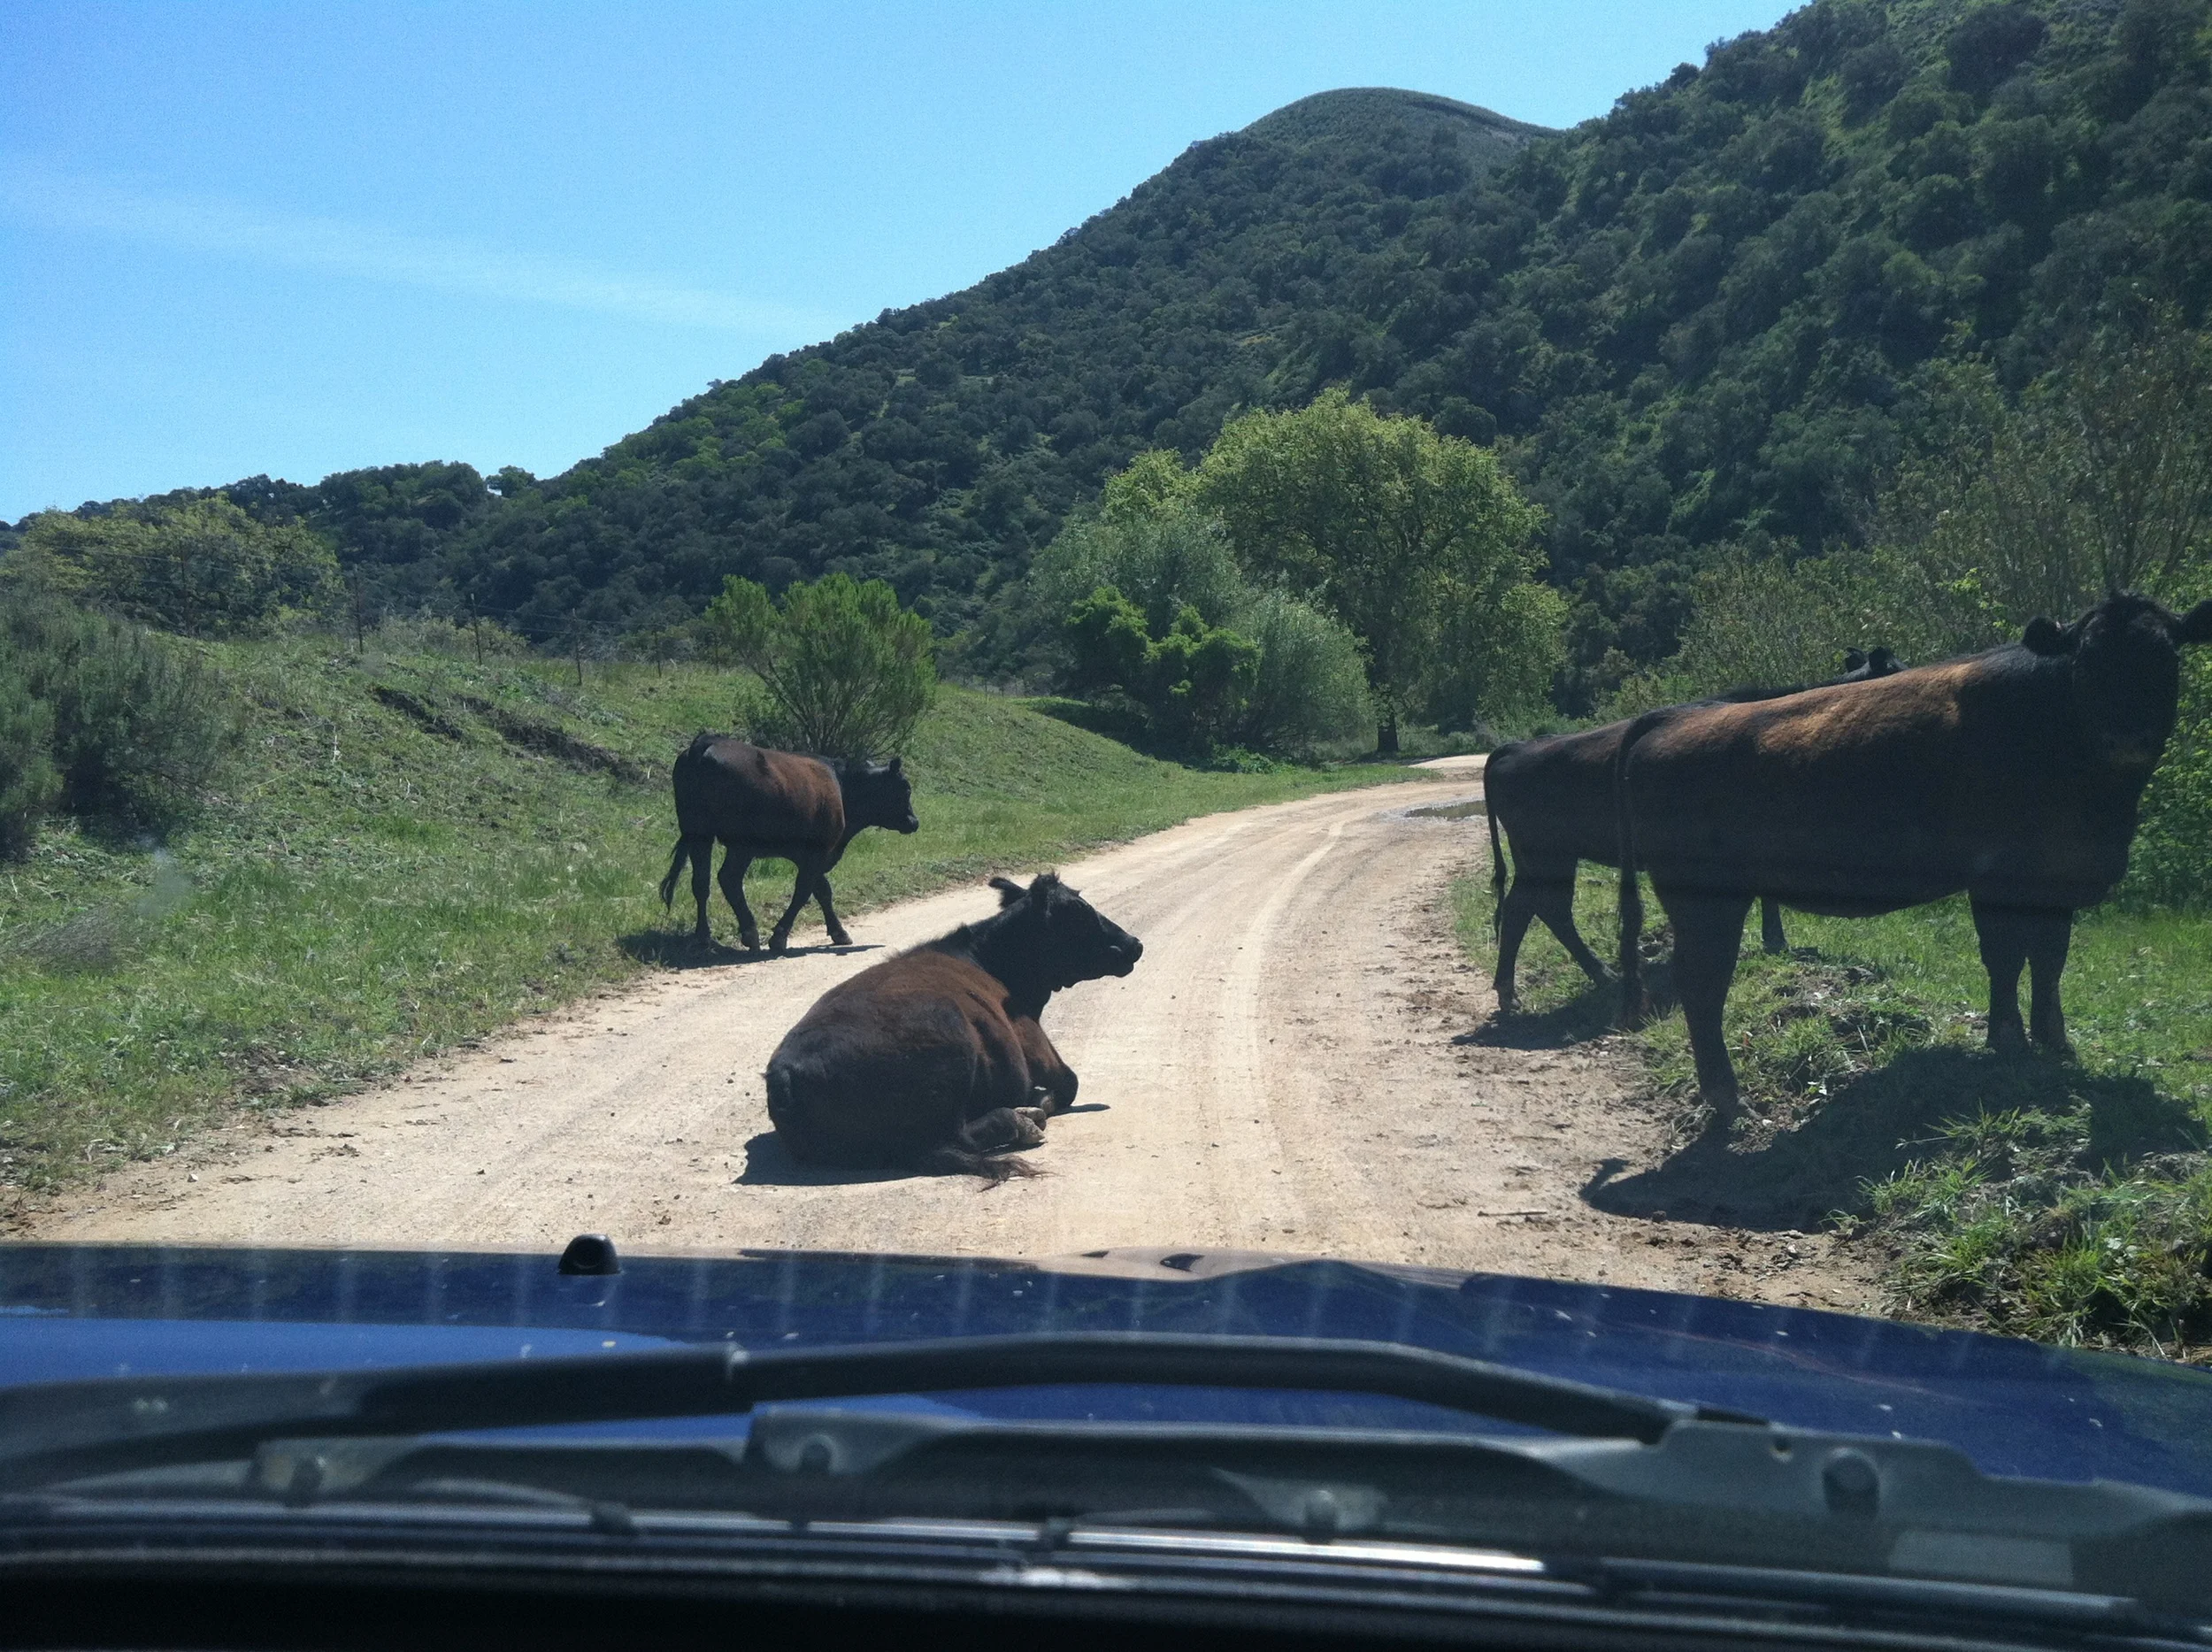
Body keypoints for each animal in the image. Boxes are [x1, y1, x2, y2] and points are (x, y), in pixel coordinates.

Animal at [658, 734, 918, 954]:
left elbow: (822, 890)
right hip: (741, 845)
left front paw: (839, 932)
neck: (843, 786)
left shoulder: (806, 855)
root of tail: (707, 742)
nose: (914, 822)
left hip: (699, 835)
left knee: (702, 882)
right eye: (905, 788)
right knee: (728, 878)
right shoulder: (817, 852)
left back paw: (704, 937)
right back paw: (750, 933)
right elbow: (804, 891)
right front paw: (779, 937)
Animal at [764, 872, 1143, 1180]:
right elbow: (1069, 1084)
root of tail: (786, 1072)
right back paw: (1022, 1119)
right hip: (952, 1046)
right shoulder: (1036, 1044)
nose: (1134, 944)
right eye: (1077, 913)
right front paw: (1039, 1099)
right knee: (953, 1139)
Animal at [1484, 648, 1902, 1013]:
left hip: (1544, 854)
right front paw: (1776, 941)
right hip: (1544, 853)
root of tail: (1515, 747)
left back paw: (1583, 978)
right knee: (1534, 907)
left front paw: (1775, 940)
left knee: (1536, 908)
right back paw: (1529, 988)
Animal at [1613, 594, 2212, 1125]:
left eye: (2165, 655)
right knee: (1702, 984)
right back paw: (1727, 1097)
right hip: (1704, 899)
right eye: (2086, 661)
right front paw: (2009, 1043)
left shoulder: (2055, 877)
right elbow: (2006, 958)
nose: (2126, 734)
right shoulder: (1996, 877)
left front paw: (2054, 1041)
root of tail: (1672, 719)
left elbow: (2049, 960)